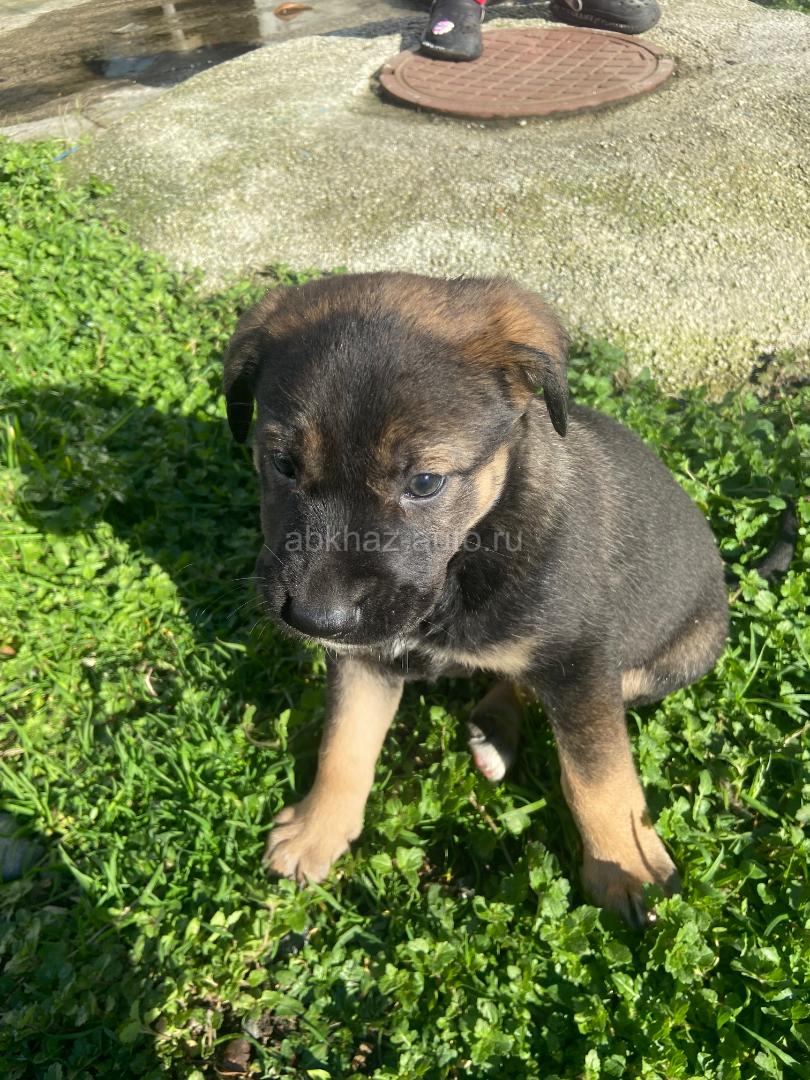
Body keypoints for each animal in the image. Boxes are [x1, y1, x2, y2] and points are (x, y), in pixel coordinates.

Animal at [223, 272, 729, 927]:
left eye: (425, 483)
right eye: (282, 463)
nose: (314, 619)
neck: (466, 557)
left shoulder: (581, 660)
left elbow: (600, 777)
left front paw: (626, 867)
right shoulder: (366, 656)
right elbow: (345, 743)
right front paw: (317, 830)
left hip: (662, 664)